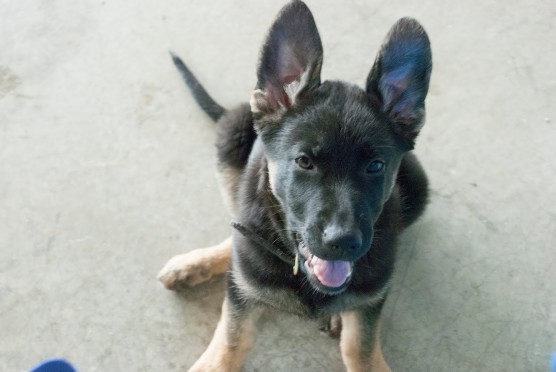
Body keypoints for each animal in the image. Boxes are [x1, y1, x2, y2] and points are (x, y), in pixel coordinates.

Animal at [159, 1, 432, 370]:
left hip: (417, 184)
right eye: (304, 162)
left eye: (376, 166)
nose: (343, 243)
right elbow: (230, 344)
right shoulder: (240, 305)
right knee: (237, 238)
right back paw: (194, 265)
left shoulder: (370, 303)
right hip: (232, 136)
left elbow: (359, 349)